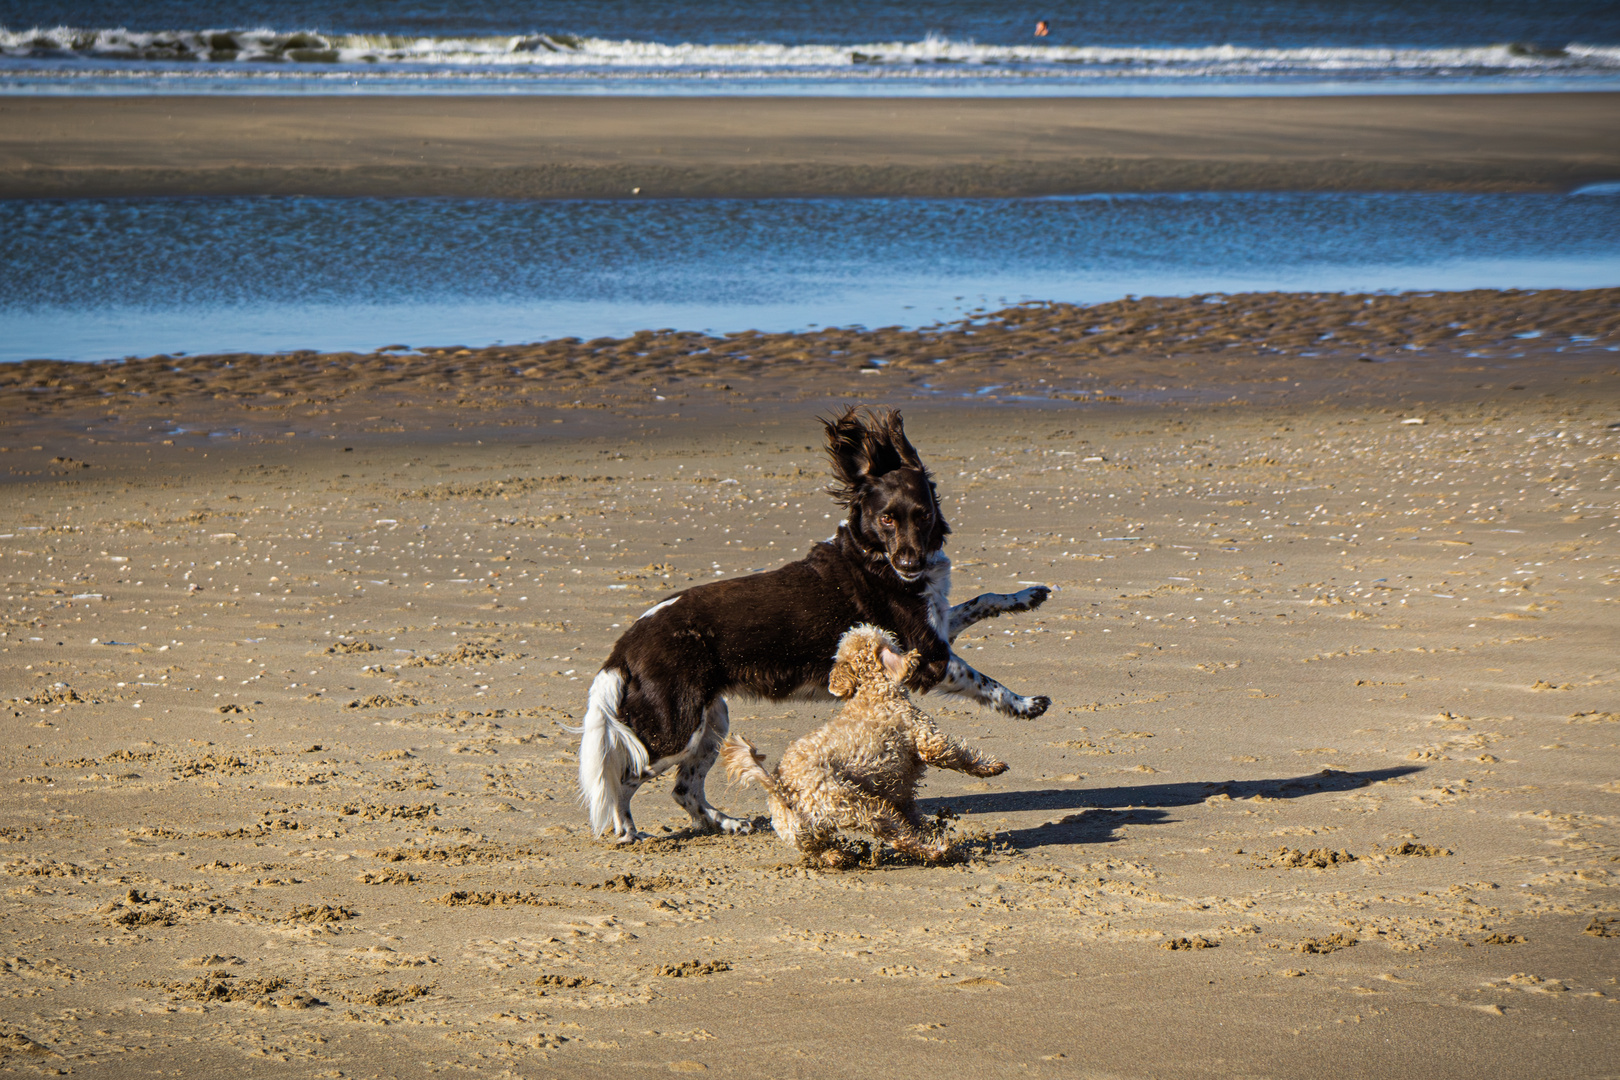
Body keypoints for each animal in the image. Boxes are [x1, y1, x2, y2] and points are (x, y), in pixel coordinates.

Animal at [570, 409, 1049, 841]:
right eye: (887, 518)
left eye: (923, 514)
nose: (910, 563)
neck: (873, 557)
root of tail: (624, 647)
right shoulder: (930, 656)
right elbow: (987, 682)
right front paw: (1025, 704)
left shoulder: (934, 631)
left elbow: (982, 600)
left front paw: (1028, 596)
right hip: (675, 733)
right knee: (624, 779)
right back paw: (628, 832)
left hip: (712, 723)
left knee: (684, 788)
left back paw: (727, 823)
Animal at [725, 625, 1004, 867]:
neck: (873, 689)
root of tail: (783, 789)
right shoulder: (926, 739)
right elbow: (958, 756)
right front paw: (992, 766)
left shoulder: (900, 794)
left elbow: (915, 816)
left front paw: (931, 829)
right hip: (858, 806)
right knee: (898, 838)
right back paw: (938, 852)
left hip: (801, 834)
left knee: (823, 851)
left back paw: (842, 856)